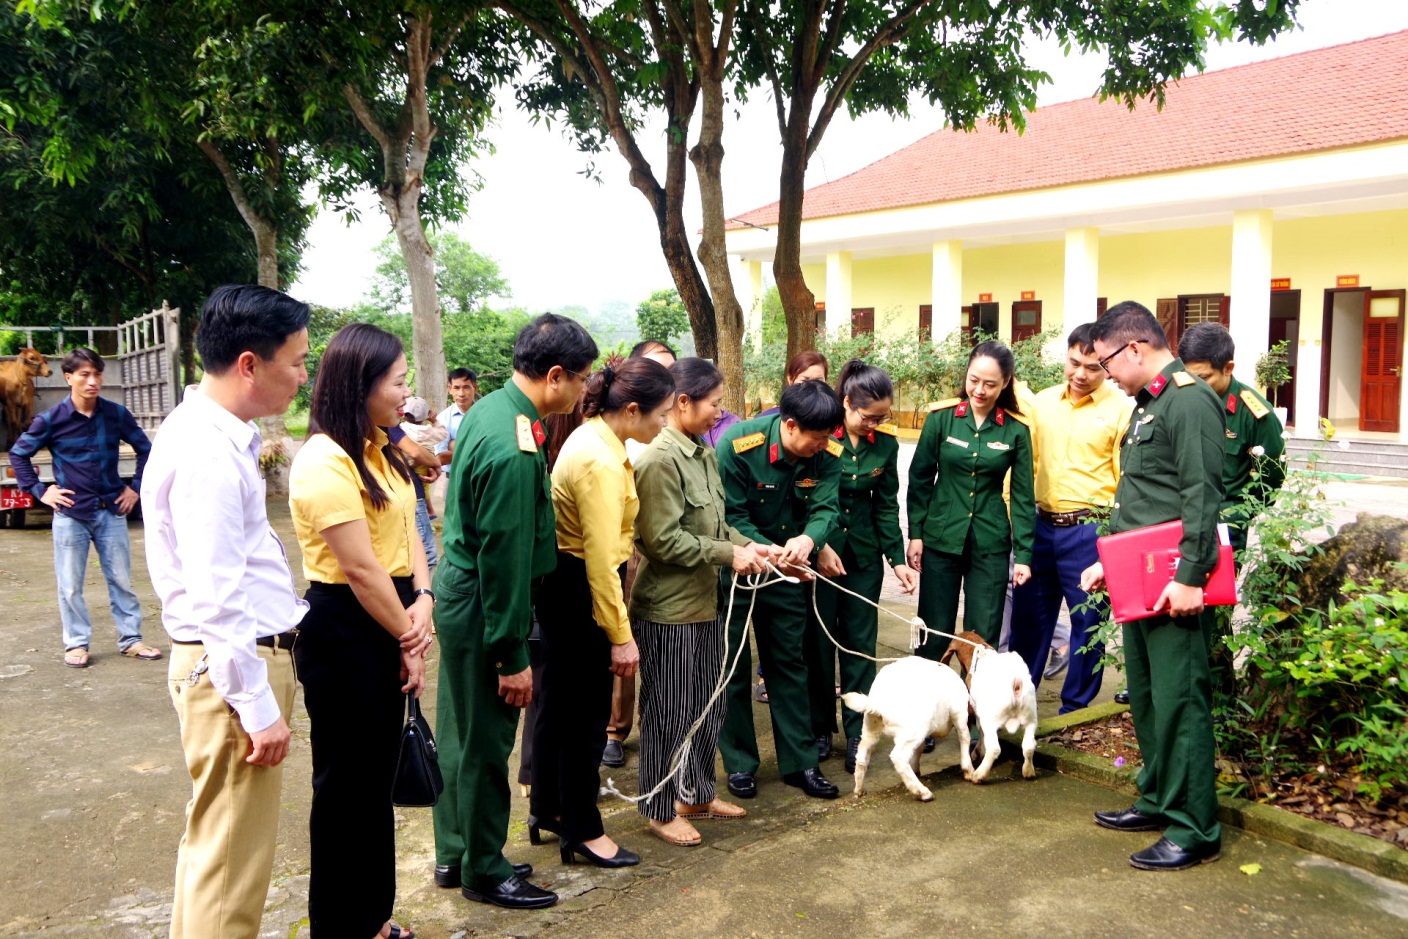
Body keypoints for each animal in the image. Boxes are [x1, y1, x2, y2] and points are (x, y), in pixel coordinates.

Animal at [839, 653, 974, 799]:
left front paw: (916, 770)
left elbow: (918, 750)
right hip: (913, 731)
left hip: (871, 728)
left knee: (862, 757)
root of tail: (877, 702)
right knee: (899, 757)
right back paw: (923, 793)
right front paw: (969, 771)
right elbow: (965, 737)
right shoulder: (959, 713)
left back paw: (859, 790)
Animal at [940, 630, 1041, 788]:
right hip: (1030, 718)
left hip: (992, 720)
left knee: (994, 748)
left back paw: (979, 775)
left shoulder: (978, 712)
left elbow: (981, 733)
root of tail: (1015, 683)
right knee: (1029, 746)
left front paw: (977, 753)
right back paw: (1028, 772)